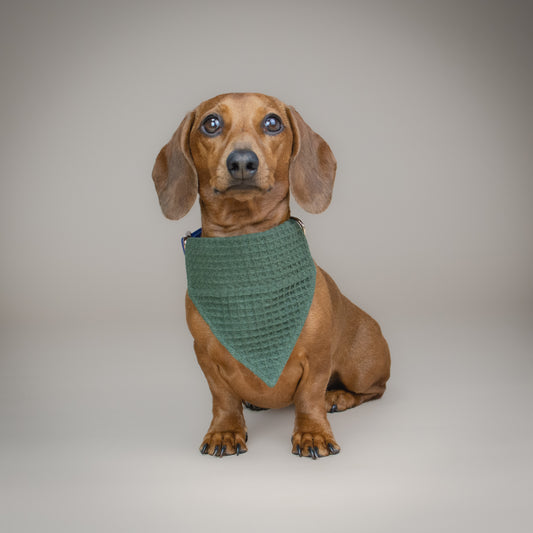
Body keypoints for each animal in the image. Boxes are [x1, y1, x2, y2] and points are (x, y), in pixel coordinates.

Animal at [152, 92, 388, 458]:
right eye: (211, 123)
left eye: (273, 122)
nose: (242, 162)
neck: (245, 241)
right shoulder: (205, 356)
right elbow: (222, 397)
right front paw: (225, 431)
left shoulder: (317, 357)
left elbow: (309, 397)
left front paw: (312, 433)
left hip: (360, 369)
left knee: (374, 389)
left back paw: (338, 396)